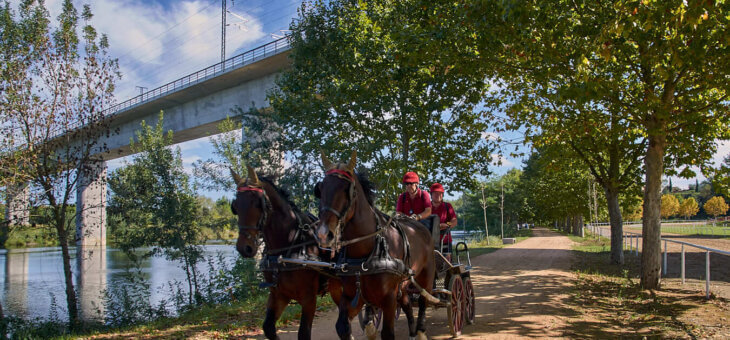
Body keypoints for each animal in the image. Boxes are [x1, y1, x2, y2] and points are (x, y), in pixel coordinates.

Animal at [230, 167, 338, 340]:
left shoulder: (309, 299)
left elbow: (303, 333)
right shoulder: (278, 295)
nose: (244, 247)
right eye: (235, 206)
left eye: (257, 203)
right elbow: (268, 328)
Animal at [312, 152, 432, 340]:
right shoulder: (351, 296)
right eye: (320, 189)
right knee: (406, 303)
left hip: (426, 276)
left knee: (422, 301)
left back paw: (420, 330)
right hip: (404, 283)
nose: (324, 233)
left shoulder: (389, 298)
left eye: (346, 190)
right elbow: (342, 326)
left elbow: (388, 333)